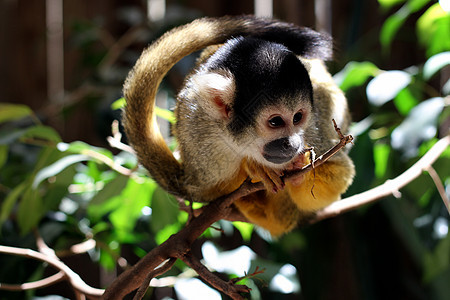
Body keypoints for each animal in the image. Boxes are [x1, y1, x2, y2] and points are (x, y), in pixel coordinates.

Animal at [122, 15, 356, 237]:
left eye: (298, 117)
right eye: (275, 122)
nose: (293, 144)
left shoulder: (313, 127)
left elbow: (339, 176)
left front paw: (300, 170)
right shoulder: (198, 134)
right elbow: (207, 192)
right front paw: (254, 168)